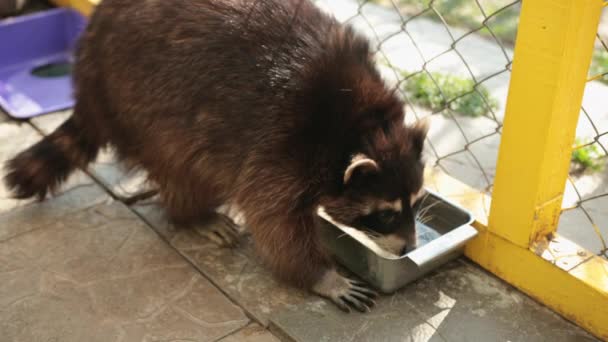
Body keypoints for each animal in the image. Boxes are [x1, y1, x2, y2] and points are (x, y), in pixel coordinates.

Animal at [3, 0, 428, 312]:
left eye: (417, 201)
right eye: (386, 213)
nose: (409, 248)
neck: (364, 125)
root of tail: (87, 67)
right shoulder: (283, 140)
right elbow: (275, 220)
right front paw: (322, 276)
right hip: (137, 100)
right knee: (186, 165)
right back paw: (192, 214)